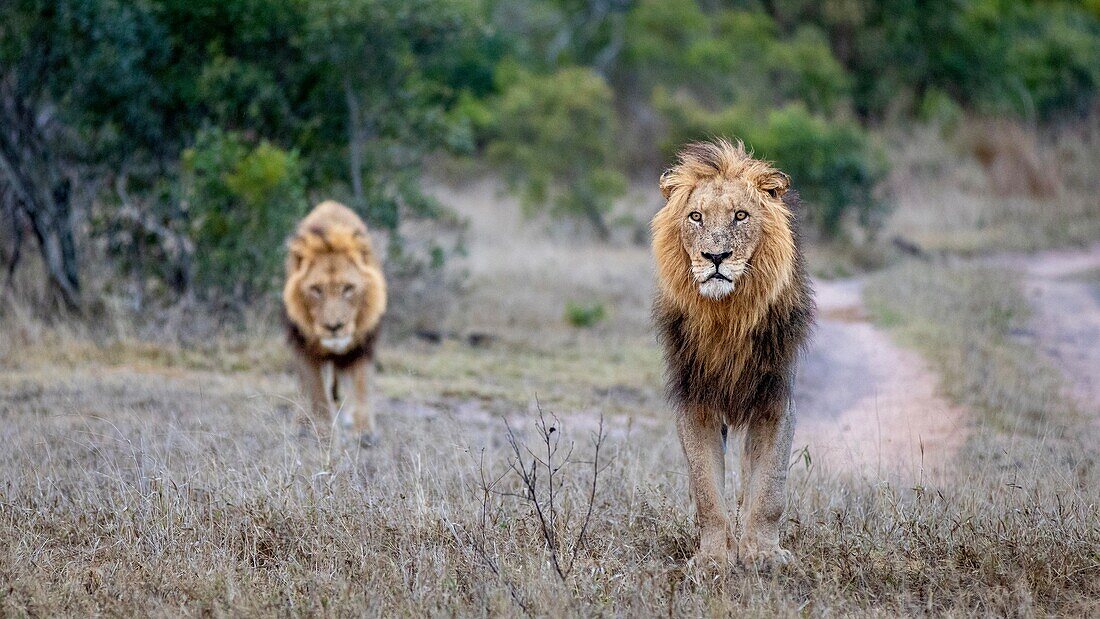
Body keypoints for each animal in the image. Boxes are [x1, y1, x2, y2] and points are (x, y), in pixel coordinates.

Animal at [286, 201, 389, 444]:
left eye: (348, 288)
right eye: (316, 289)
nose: (334, 327)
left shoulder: (363, 345)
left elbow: (361, 385)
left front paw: (364, 432)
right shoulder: (304, 347)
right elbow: (316, 391)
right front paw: (324, 431)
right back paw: (301, 425)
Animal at [651, 140, 818, 571]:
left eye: (741, 215)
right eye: (695, 217)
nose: (716, 257)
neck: (727, 314)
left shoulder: (775, 402)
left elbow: (770, 489)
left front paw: (763, 554)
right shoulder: (695, 404)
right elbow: (707, 491)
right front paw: (713, 558)